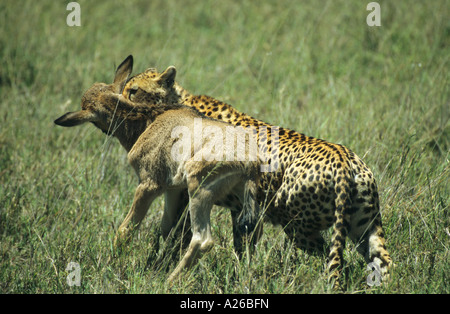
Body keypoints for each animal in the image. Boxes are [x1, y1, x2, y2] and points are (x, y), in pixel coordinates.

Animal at [121, 63, 392, 284]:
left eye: (133, 90)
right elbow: (242, 247)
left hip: (296, 224)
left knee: (334, 259)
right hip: (364, 226)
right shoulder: (241, 210)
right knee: (381, 262)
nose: (120, 99)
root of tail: (345, 158)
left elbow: (176, 235)